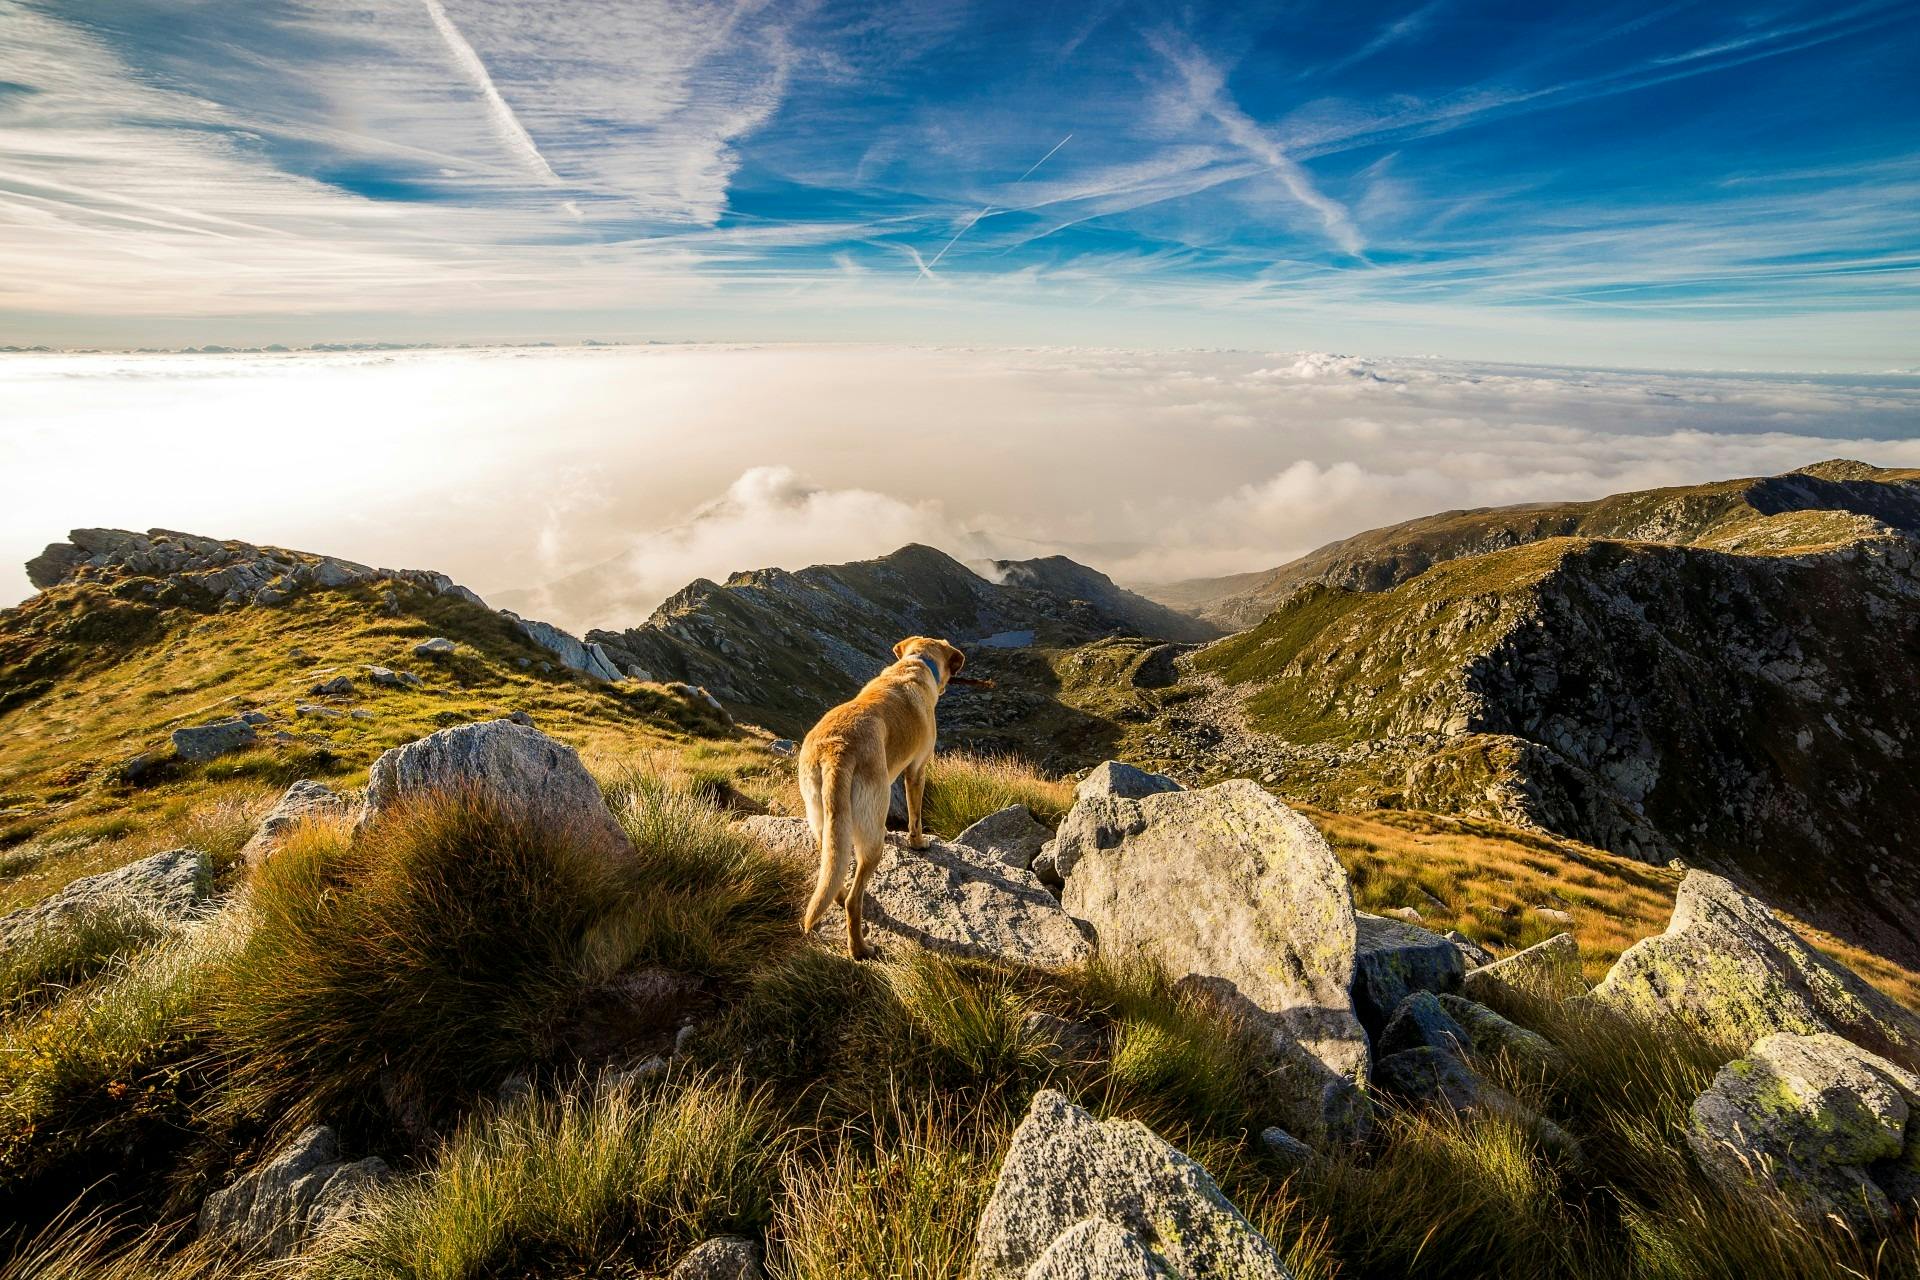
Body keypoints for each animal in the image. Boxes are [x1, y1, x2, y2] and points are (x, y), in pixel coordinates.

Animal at [798, 637, 967, 955]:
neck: (914, 664)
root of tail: (837, 750)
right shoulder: (917, 770)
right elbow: (915, 815)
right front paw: (918, 843)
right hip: (872, 839)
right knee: (855, 900)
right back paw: (860, 949)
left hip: (821, 818)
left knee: (833, 871)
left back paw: (836, 898)